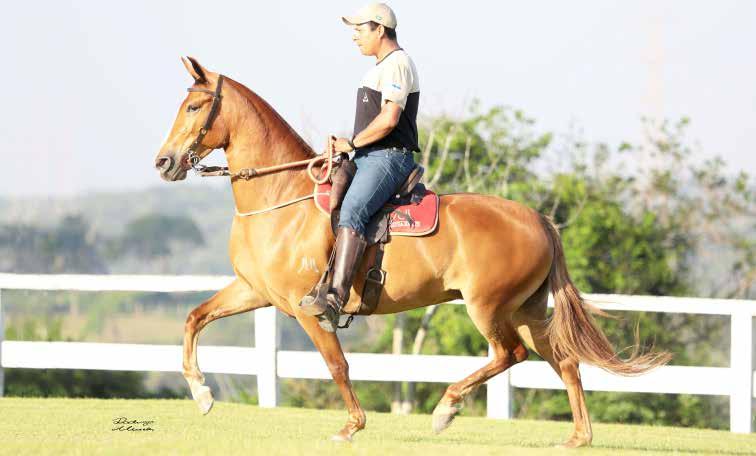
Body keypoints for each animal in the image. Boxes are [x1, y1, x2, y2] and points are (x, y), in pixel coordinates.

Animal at [154, 56, 668, 446]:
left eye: (195, 105)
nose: (163, 162)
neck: (283, 197)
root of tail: (539, 220)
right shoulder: (255, 291)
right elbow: (195, 318)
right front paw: (201, 393)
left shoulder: (307, 309)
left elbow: (337, 364)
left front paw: (352, 426)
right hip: (526, 309)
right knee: (563, 360)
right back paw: (578, 437)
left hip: (489, 308)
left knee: (512, 355)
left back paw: (446, 408)